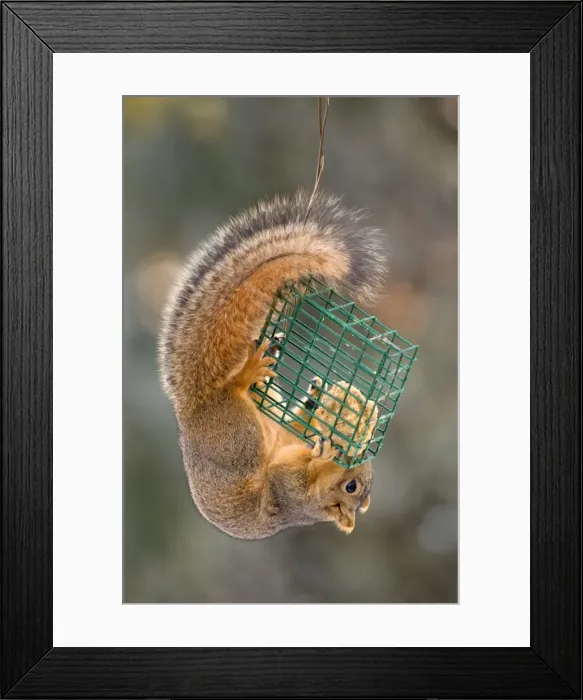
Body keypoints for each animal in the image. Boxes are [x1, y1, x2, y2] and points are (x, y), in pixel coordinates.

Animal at [159, 190, 387, 540]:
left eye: (352, 487)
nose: (349, 453)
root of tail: (196, 405)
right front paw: (323, 435)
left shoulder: (288, 494)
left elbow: (287, 475)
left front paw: (323, 456)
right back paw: (276, 381)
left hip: (240, 441)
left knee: (240, 402)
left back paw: (248, 376)